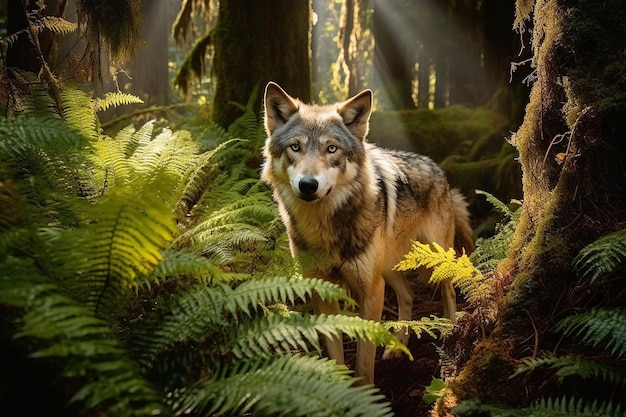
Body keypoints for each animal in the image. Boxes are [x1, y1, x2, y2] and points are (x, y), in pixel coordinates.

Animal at [260, 83, 472, 386]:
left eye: (332, 148)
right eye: (295, 147)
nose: (308, 185)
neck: (325, 229)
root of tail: (437, 168)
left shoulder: (370, 291)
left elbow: (363, 362)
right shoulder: (323, 290)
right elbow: (335, 353)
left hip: (435, 259)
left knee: (449, 293)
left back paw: (449, 335)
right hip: (388, 268)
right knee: (408, 295)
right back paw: (397, 347)